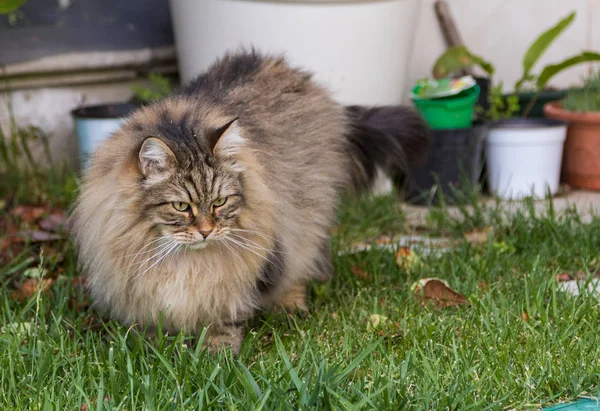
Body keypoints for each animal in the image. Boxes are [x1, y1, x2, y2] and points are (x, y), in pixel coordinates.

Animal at [70, 51, 428, 354]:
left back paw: (290, 306)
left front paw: (216, 356)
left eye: (220, 202)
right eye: (181, 207)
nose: (206, 231)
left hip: (303, 219)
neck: (185, 262)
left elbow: (223, 318)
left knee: (303, 263)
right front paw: (150, 349)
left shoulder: (232, 279)